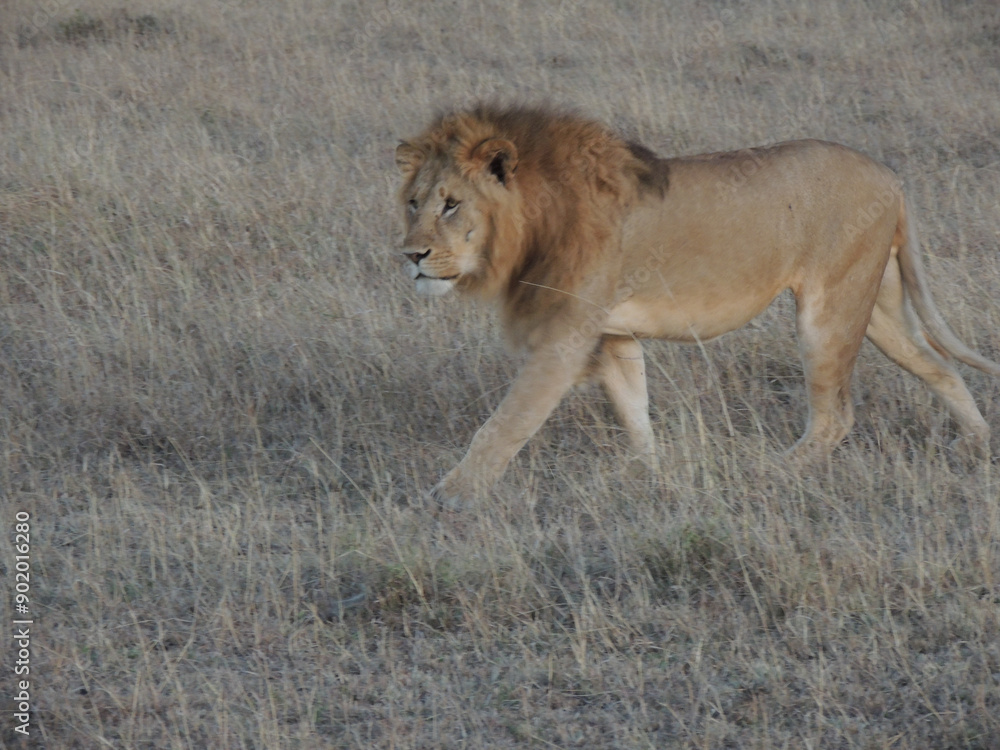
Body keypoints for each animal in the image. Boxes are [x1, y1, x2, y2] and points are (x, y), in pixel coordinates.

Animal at [395, 104, 999, 504]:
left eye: (452, 205)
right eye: (413, 203)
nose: (411, 255)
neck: (532, 226)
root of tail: (890, 175)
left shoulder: (562, 341)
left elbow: (505, 424)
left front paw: (447, 498)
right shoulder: (612, 335)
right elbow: (634, 410)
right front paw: (651, 476)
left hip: (829, 311)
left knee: (835, 417)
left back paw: (770, 474)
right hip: (875, 307)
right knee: (938, 365)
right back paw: (976, 444)